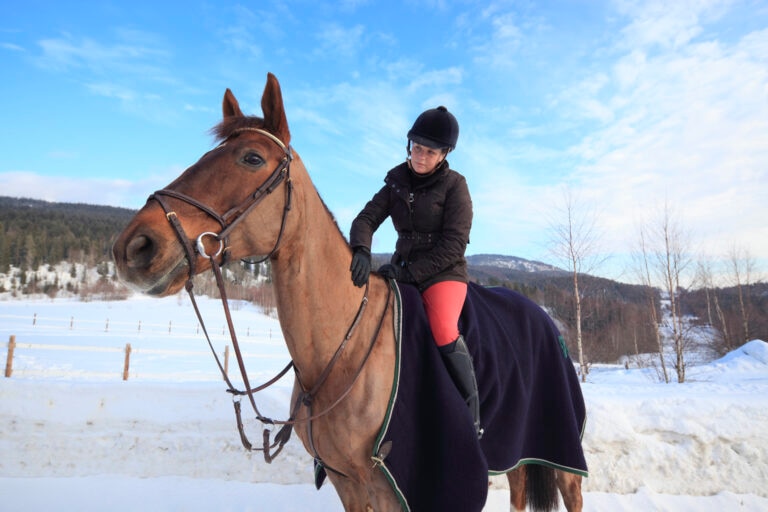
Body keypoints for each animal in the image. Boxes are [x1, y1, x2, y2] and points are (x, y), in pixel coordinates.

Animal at [112, 72, 586, 512]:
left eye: (251, 158)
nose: (134, 247)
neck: (342, 347)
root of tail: (547, 319)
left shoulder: (398, 486)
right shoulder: (349, 484)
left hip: (560, 450)